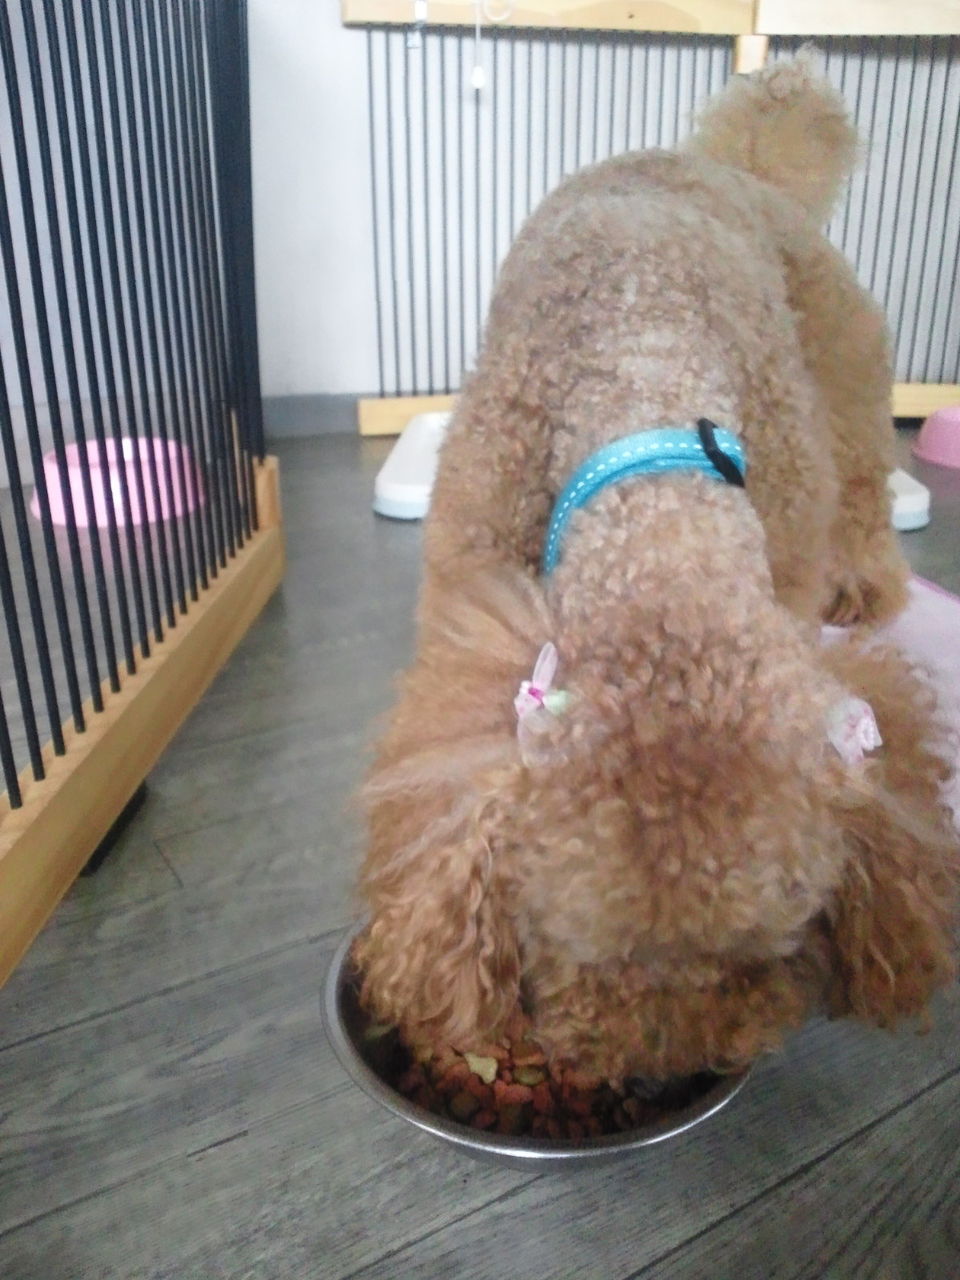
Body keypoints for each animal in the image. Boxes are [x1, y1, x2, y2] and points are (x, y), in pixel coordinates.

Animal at [354, 58, 959, 1083]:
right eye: (581, 955)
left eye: (764, 955)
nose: (675, 1066)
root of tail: (737, 165)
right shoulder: (470, 577)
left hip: (844, 377)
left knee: (865, 485)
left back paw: (868, 582)